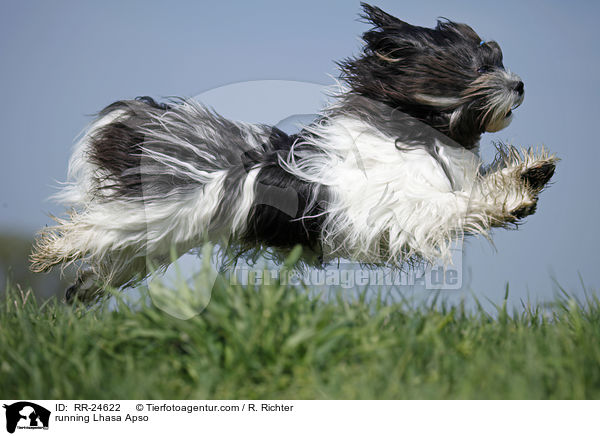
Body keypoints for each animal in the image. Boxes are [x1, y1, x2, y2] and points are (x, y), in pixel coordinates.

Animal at [30, 4, 556, 304]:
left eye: (499, 58)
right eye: (480, 67)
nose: (520, 85)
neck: (416, 132)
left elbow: (483, 189)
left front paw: (532, 174)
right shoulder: (401, 211)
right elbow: (457, 206)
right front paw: (516, 195)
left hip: (159, 235)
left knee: (111, 258)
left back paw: (82, 287)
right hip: (156, 213)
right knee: (94, 227)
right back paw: (53, 249)